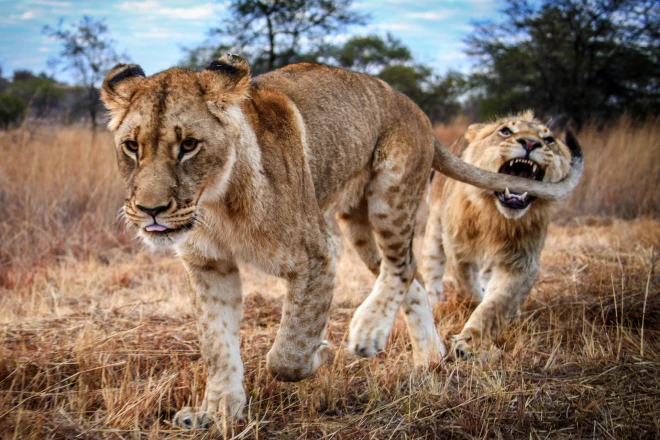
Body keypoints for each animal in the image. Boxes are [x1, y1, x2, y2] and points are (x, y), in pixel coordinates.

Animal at [422, 111, 584, 360]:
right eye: (506, 131)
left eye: (549, 140)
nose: (530, 143)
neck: (497, 219)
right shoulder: (458, 249)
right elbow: (466, 285)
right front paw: (471, 305)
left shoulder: (521, 262)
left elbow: (497, 303)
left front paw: (470, 343)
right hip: (433, 232)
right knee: (432, 273)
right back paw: (435, 305)